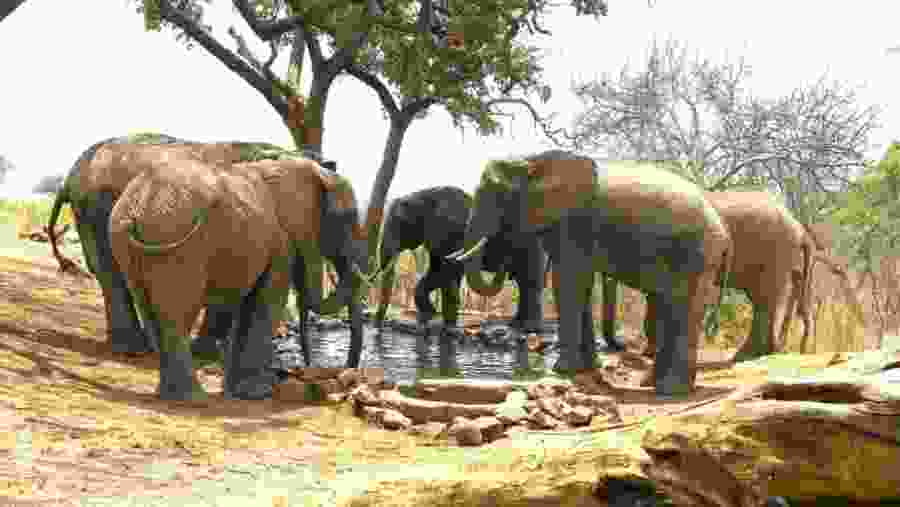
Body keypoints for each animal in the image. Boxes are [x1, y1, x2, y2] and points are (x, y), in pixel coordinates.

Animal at [372, 185, 546, 337]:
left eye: (399, 223)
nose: (378, 329)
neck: (422, 196)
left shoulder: (450, 231)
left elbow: (447, 271)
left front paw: (447, 327)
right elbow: (435, 271)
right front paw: (429, 318)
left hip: (528, 246)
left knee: (529, 282)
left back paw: (530, 329)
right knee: (523, 283)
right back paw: (515, 325)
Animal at [448, 150, 732, 398]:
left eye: (497, 193)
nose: (503, 264)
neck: (534, 158)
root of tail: (724, 234)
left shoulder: (573, 222)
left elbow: (569, 278)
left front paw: (562, 371)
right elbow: (580, 282)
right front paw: (584, 370)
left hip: (696, 254)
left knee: (683, 306)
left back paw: (669, 390)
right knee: (673, 305)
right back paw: (657, 384)